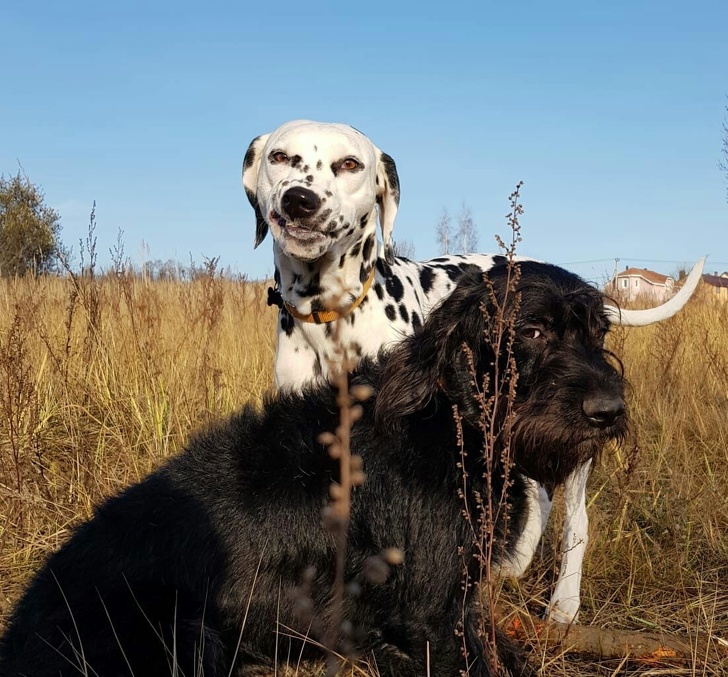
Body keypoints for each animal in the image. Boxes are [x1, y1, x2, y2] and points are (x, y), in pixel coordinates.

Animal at [0, 262, 624, 676]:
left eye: (601, 332)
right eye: (534, 330)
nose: (610, 411)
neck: (450, 419)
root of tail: (20, 631)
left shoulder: (457, 604)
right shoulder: (431, 615)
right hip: (184, 637)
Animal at [243, 117, 704, 624]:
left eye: (350, 164)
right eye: (280, 157)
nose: (299, 200)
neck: (330, 315)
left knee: (573, 520)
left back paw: (562, 603)